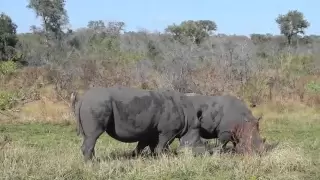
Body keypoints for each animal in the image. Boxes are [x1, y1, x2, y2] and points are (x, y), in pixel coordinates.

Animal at [70, 86, 205, 162]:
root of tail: (82, 99)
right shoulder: (168, 131)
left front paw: (142, 158)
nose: (203, 156)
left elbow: (144, 145)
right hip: (96, 104)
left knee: (88, 137)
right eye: (199, 144)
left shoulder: (151, 131)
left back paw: (93, 161)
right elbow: (162, 145)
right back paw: (91, 164)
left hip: (93, 104)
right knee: (93, 136)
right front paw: (164, 158)